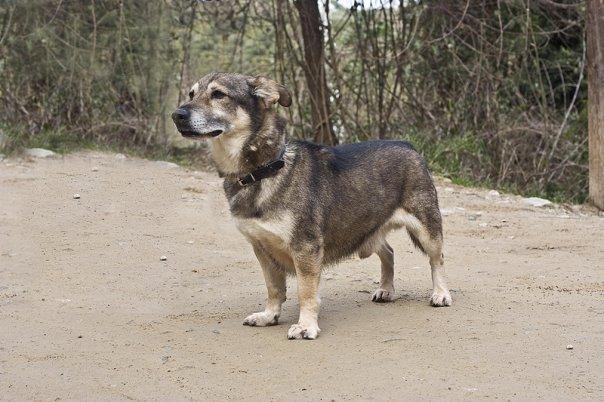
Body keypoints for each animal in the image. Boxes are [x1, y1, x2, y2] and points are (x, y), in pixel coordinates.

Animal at [172, 72, 450, 340]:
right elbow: (274, 288)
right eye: (191, 94)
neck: (264, 170)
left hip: (427, 230)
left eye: (218, 94)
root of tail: (407, 145)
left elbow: (305, 292)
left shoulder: (304, 248)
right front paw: (269, 316)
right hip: (368, 229)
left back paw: (441, 293)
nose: (176, 115)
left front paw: (306, 326)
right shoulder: (261, 248)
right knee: (389, 252)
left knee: (437, 260)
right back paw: (386, 289)